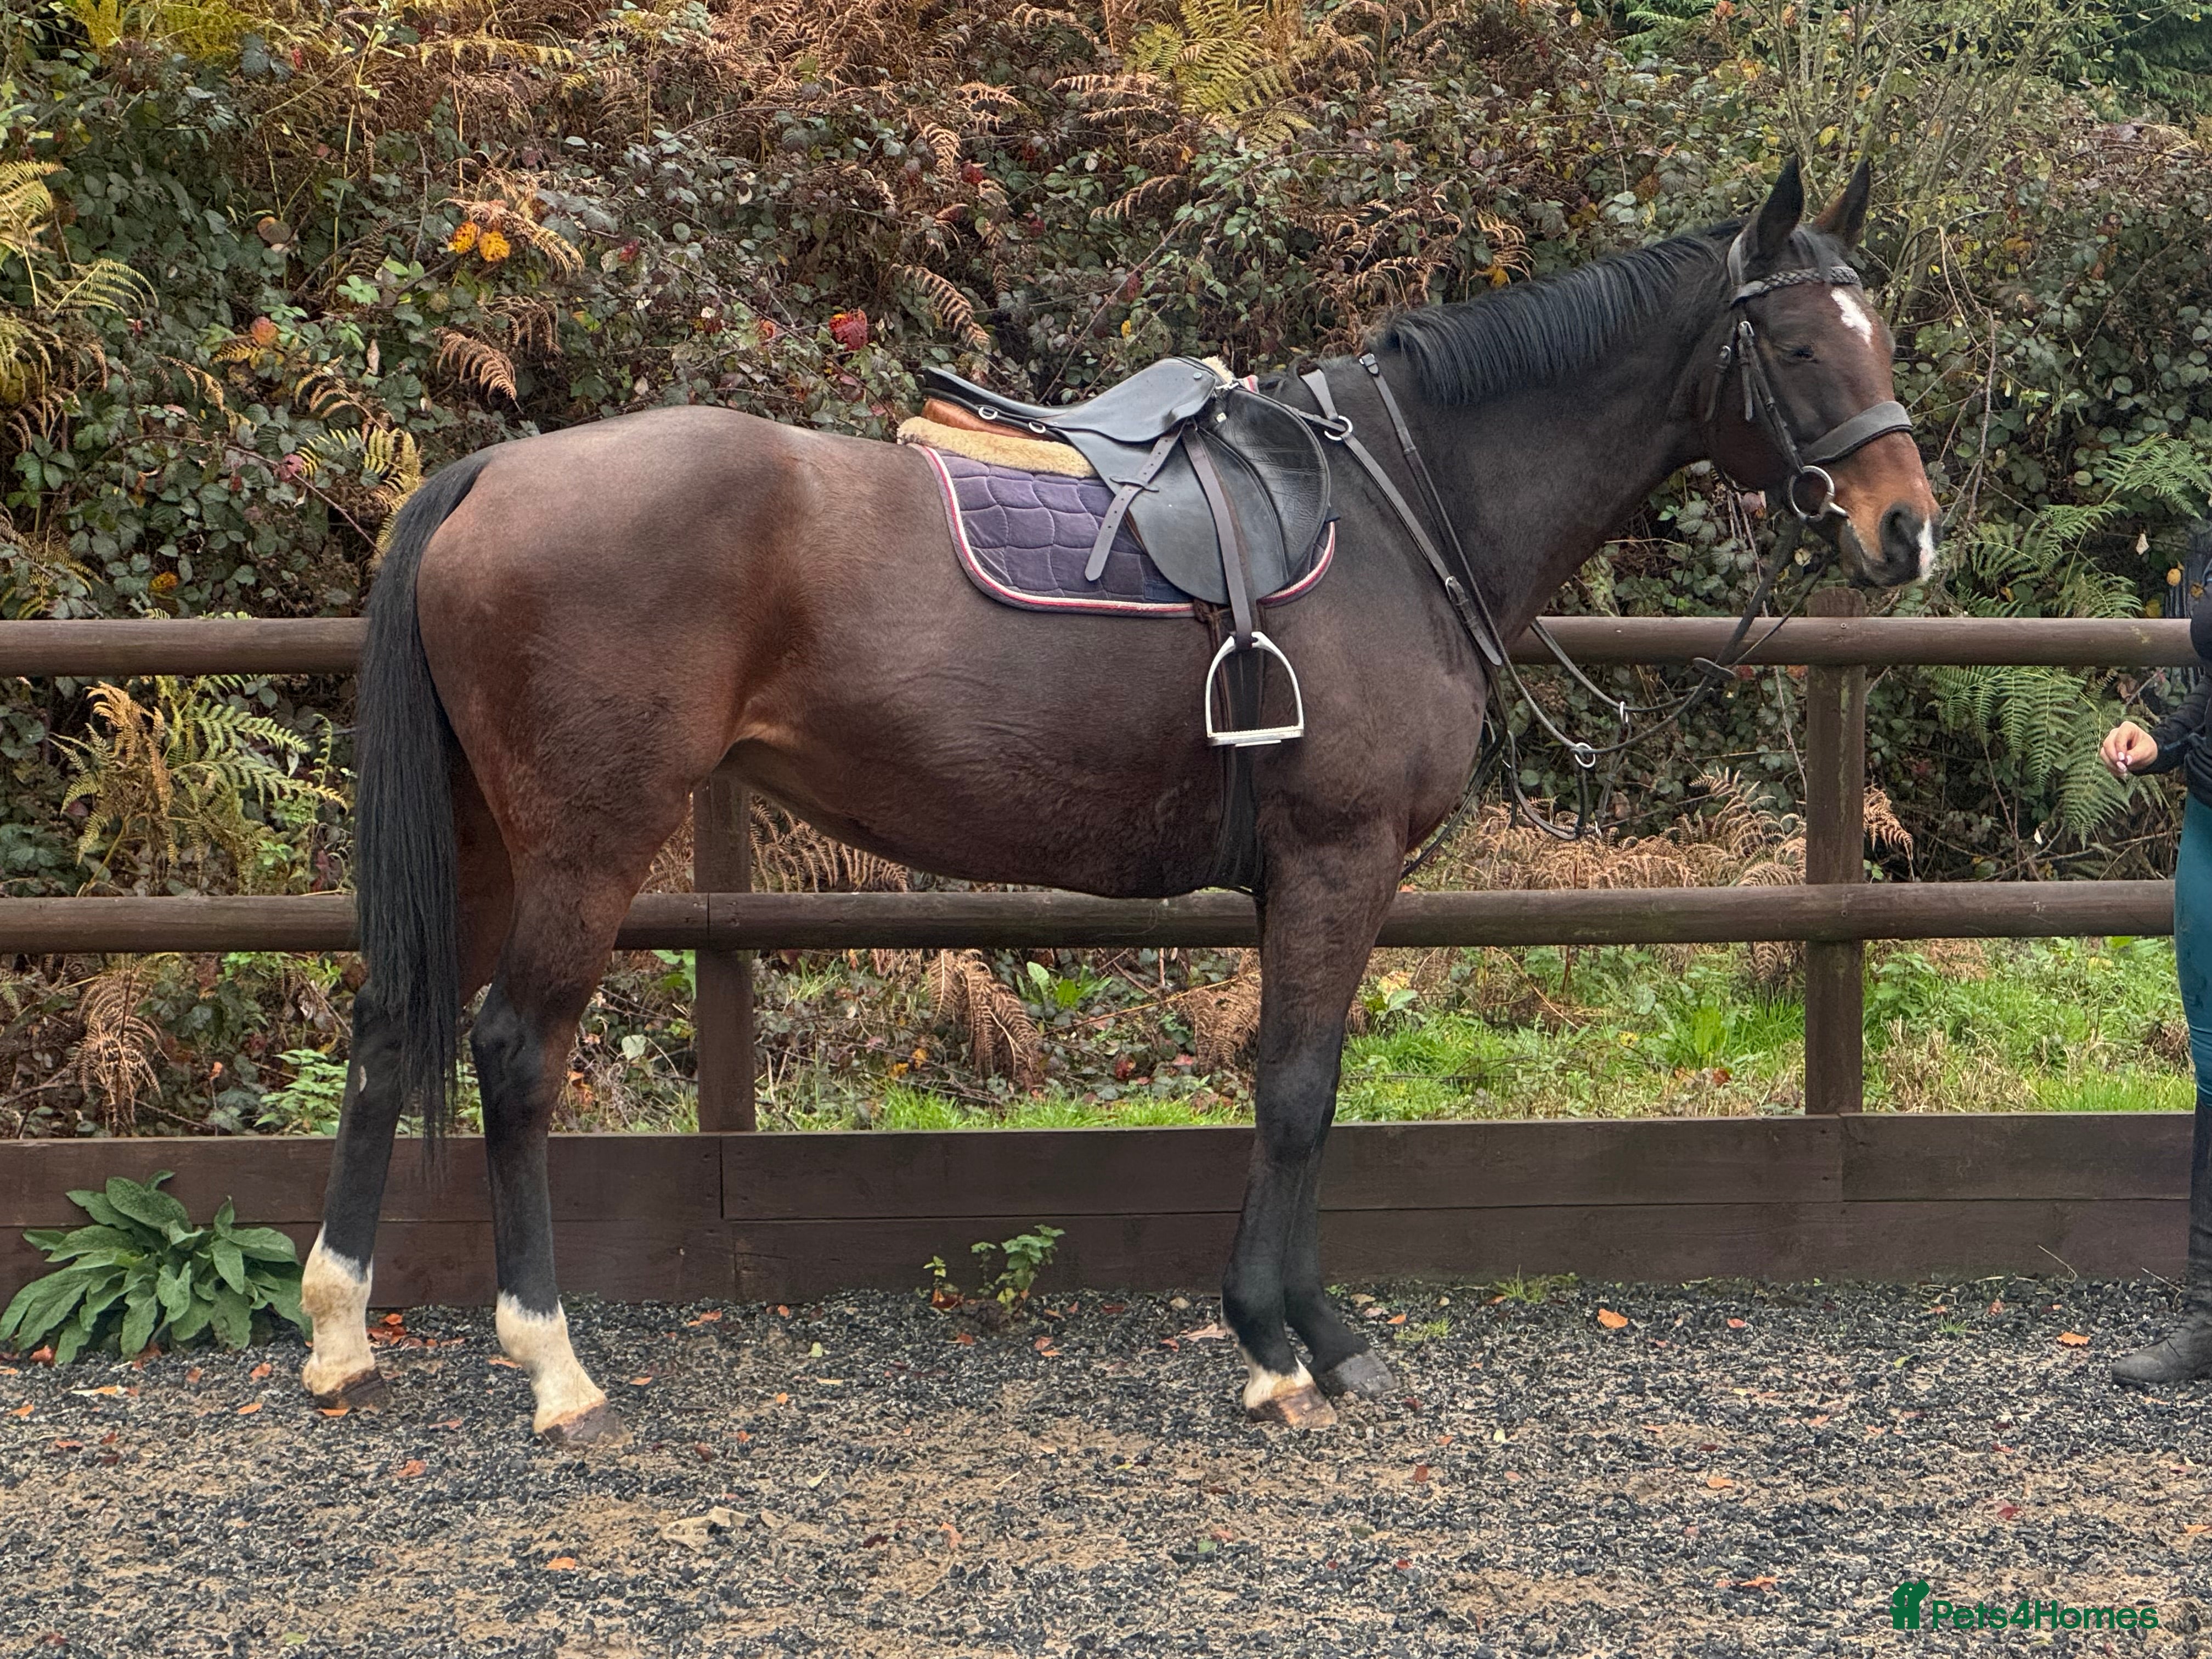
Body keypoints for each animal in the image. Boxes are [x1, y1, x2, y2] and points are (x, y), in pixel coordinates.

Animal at [298, 159, 1937, 1442]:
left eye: (1879, 331)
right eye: (1799, 343)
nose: (1907, 529)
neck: (1406, 513)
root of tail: (488, 476)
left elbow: (1288, 1086)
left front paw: (1288, 1332)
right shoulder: (1338, 862)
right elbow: (1299, 1090)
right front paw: (1294, 1345)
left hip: (483, 841)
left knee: (387, 1026)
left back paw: (338, 1329)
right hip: (584, 844)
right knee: (514, 1052)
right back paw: (550, 1360)